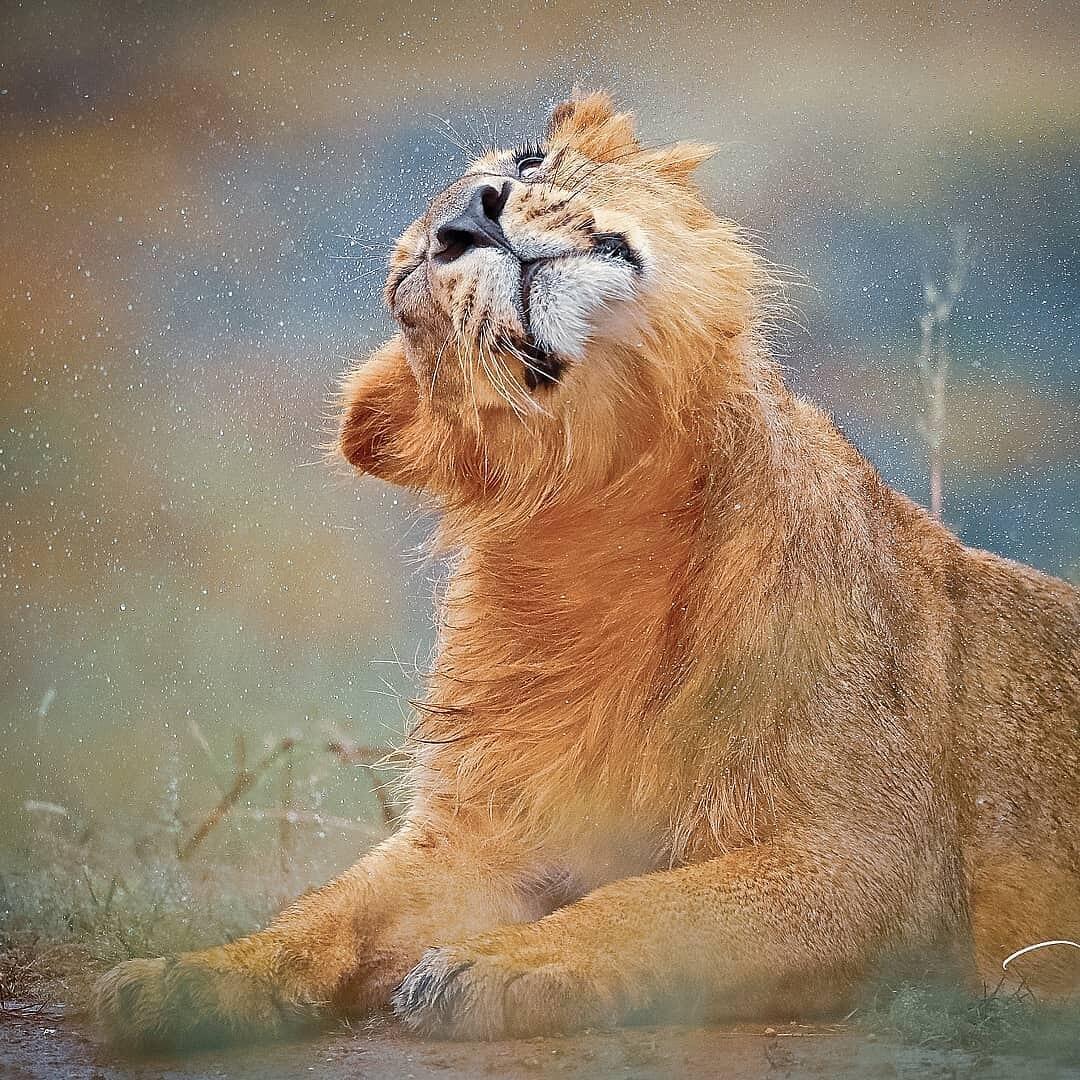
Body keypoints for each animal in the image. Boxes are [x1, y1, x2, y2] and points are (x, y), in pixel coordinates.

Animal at [95, 91, 1080, 1049]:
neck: (619, 507)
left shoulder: (881, 863)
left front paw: (498, 966)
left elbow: (659, 905)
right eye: (409, 282)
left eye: (526, 161)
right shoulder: (493, 830)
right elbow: (326, 913)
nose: (469, 217)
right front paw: (184, 979)